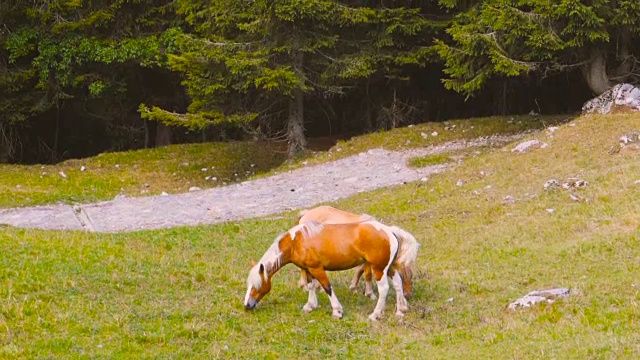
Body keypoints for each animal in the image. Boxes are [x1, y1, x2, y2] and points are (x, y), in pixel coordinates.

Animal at [241, 221, 416, 320]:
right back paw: (401, 310)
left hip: (378, 269)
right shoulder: (308, 269)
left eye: (256, 286)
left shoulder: (317, 269)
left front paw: (337, 311)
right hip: (389, 268)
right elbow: (311, 286)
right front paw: (310, 306)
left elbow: (327, 288)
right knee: (398, 284)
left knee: (384, 289)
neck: (296, 242)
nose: (247, 305)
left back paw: (375, 314)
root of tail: (389, 230)